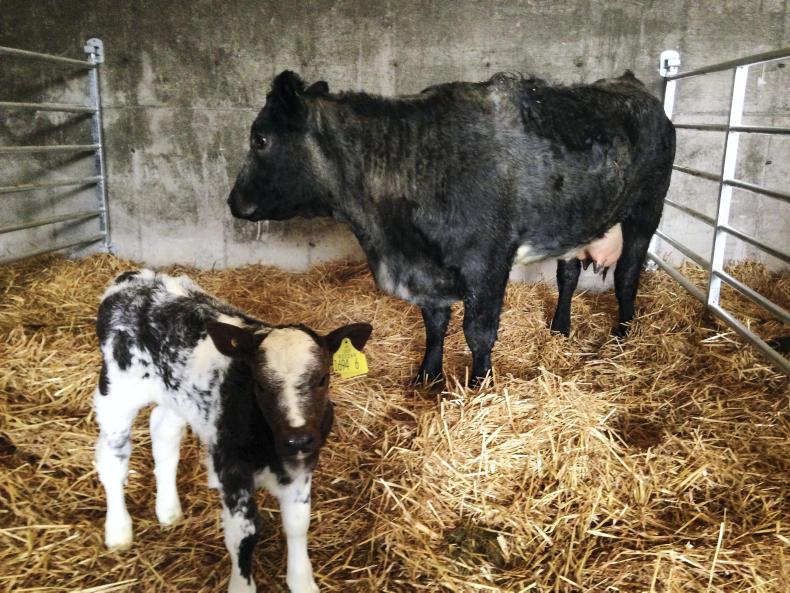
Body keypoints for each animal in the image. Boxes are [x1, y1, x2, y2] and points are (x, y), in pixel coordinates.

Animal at [227, 69, 675, 385]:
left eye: (260, 139)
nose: (233, 201)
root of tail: (630, 83)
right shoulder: (428, 269)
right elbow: (435, 324)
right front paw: (427, 376)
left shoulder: (487, 262)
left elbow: (478, 332)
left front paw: (480, 386)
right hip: (578, 222)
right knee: (568, 273)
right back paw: (560, 328)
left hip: (646, 210)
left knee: (627, 276)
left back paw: (621, 335)